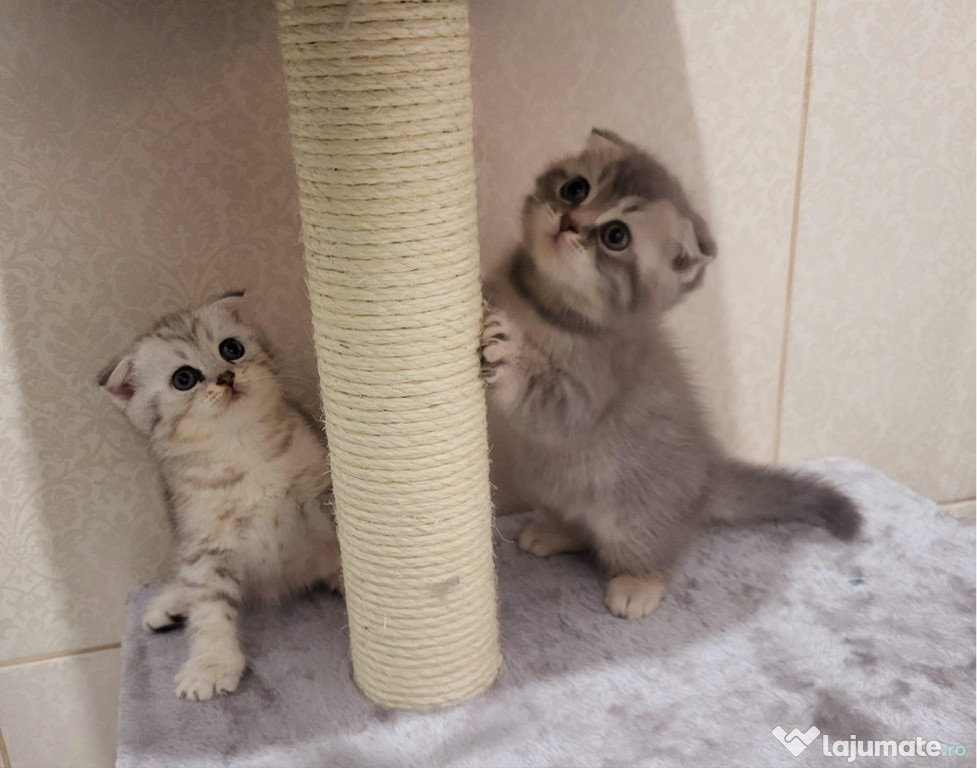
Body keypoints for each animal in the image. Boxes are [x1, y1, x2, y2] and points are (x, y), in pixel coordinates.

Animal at [99, 294, 342, 704]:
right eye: (184, 378)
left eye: (231, 349)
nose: (226, 377)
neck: (240, 447)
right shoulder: (204, 544)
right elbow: (210, 609)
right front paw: (210, 665)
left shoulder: (318, 494)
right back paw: (171, 605)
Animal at [484, 129, 856, 620]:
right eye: (576, 188)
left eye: (616, 236)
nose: (568, 220)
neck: (542, 301)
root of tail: (708, 478)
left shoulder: (590, 388)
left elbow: (548, 401)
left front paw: (510, 354)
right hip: (550, 484)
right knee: (579, 524)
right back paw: (554, 531)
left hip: (636, 515)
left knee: (659, 547)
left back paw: (639, 584)